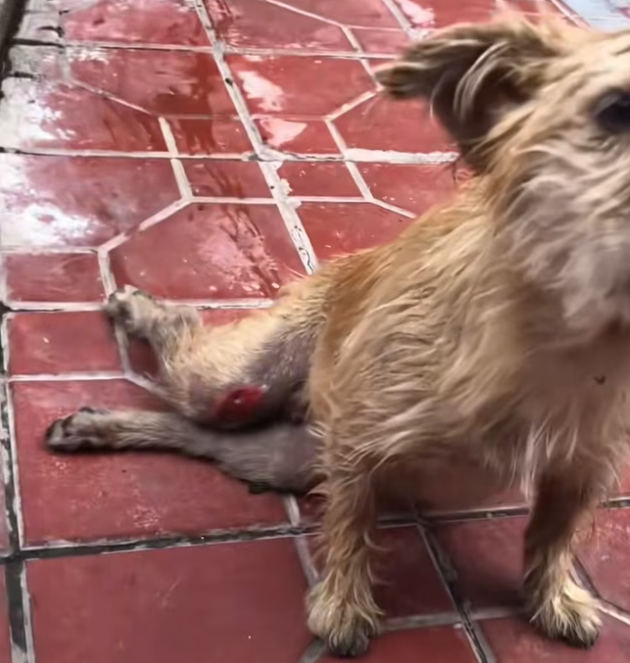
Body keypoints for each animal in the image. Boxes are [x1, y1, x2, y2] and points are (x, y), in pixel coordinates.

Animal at [45, 12, 630, 657]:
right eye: (617, 109)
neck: (561, 341)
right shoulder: (360, 434)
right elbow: (352, 522)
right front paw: (345, 603)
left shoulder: (582, 465)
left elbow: (554, 534)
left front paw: (552, 595)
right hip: (232, 379)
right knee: (184, 346)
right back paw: (138, 318)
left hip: (278, 455)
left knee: (198, 435)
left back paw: (99, 426)